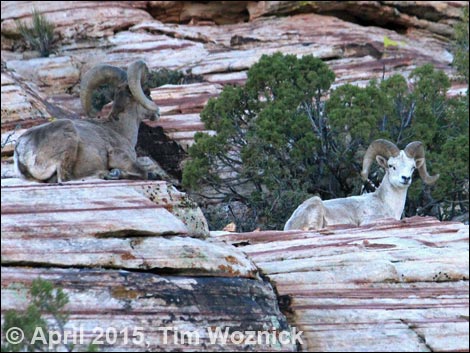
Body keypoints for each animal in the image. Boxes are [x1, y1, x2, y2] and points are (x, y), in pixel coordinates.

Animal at [13, 60, 161, 182]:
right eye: (147, 92)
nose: (157, 113)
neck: (121, 131)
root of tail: (22, 146)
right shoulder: (120, 157)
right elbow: (145, 173)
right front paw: (115, 173)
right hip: (68, 137)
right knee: (65, 178)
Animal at [282, 139, 440, 230]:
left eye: (413, 167)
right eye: (391, 166)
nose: (405, 178)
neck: (386, 203)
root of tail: (290, 223)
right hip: (316, 204)